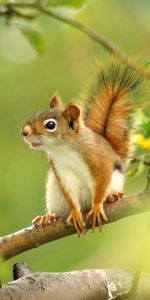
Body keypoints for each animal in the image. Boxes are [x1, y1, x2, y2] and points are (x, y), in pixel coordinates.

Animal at [21, 59, 142, 236]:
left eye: (50, 125)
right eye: (36, 114)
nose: (24, 132)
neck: (64, 149)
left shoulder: (99, 161)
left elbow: (101, 183)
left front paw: (97, 207)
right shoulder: (61, 171)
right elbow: (71, 194)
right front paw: (75, 213)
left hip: (115, 181)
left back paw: (113, 197)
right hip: (54, 193)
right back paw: (48, 217)